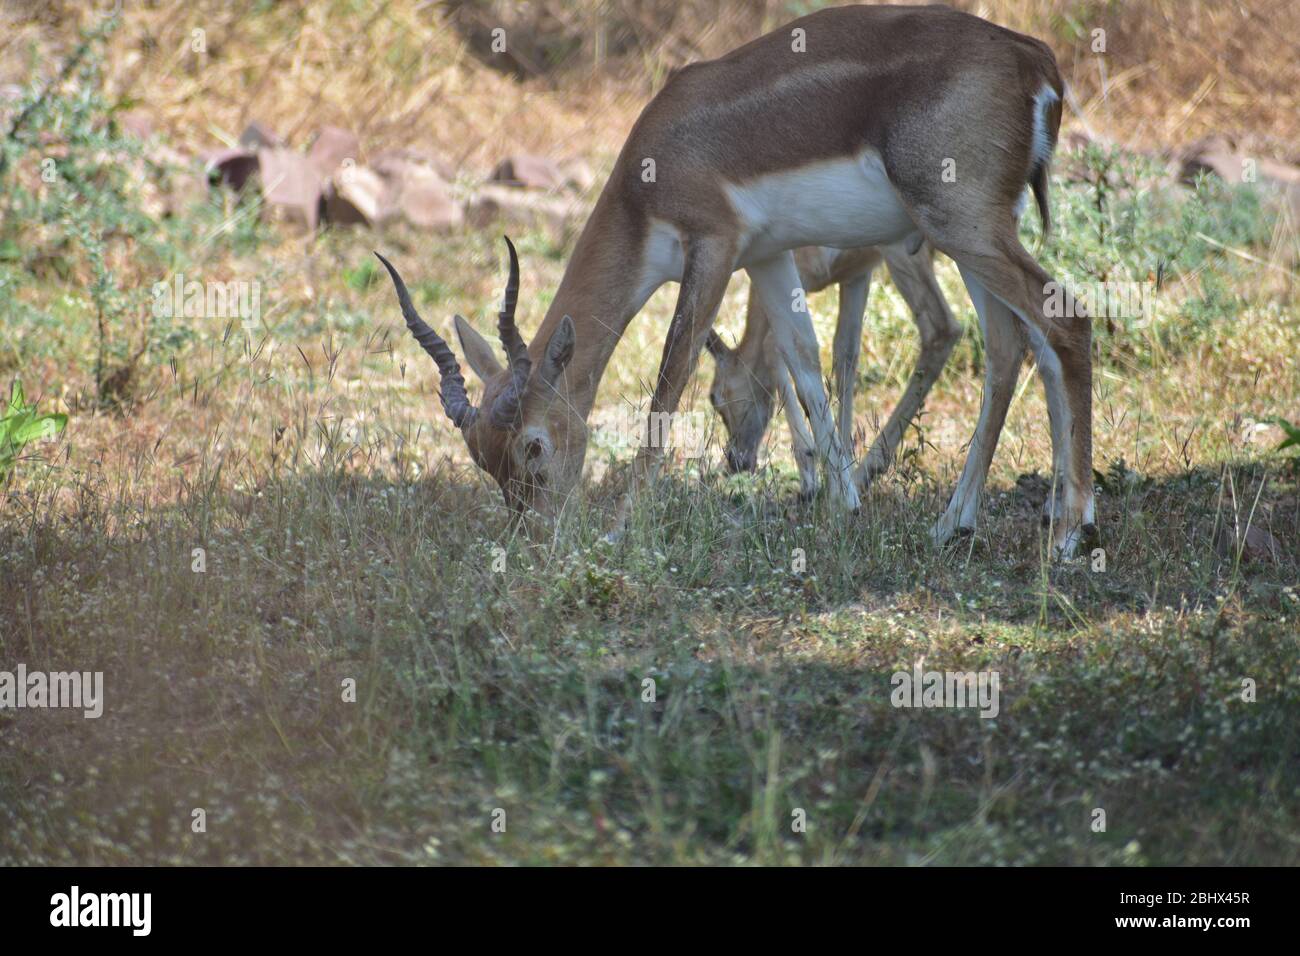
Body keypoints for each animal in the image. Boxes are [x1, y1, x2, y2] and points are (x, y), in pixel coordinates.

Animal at [707, 240, 961, 502]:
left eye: (714, 397)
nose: (735, 460)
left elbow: (776, 347)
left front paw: (810, 477)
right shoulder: (857, 274)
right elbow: (846, 351)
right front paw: (843, 466)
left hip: (901, 253)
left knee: (943, 329)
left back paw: (865, 472)